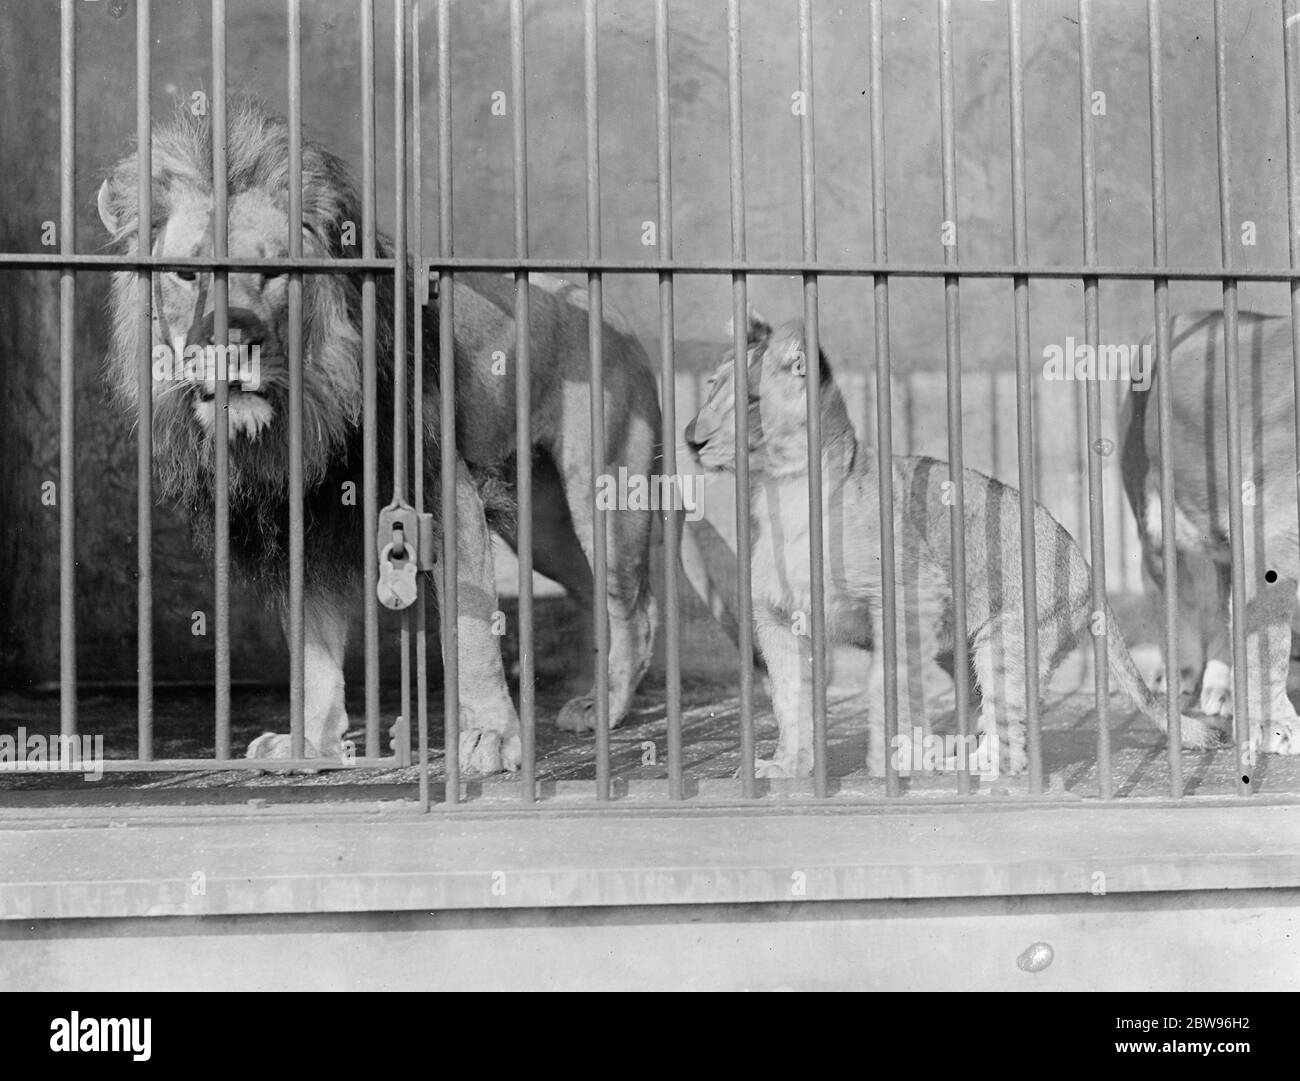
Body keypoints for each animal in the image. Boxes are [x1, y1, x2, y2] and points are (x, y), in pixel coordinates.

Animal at [97, 94, 660, 769]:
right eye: (186, 273)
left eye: (270, 270)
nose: (231, 343)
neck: (301, 409)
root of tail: (614, 312)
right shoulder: (303, 518)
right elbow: (312, 650)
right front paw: (309, 742)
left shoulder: (446, 490)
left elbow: (471, 629)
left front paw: (490, 736)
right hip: (543, 522)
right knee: (592, 592)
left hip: (602, 493)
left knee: (633, 606)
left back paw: (607, 706)